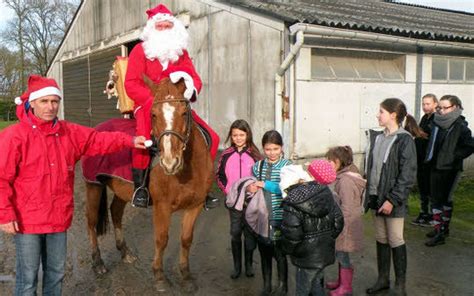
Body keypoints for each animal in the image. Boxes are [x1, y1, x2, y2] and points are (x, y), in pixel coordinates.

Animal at [83, 77, 213, 292]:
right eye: (153, 114)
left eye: (184, 113)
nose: (169, 162)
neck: (187, 170)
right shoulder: (162, 207)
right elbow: (162, 239)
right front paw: (159, 276)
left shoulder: (194, 206)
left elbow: (186, 240)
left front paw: (185, 276)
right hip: (93, 185)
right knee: (92, 222)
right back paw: (97, 262)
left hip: (122, 189)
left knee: (115, 212)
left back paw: (125, 252)